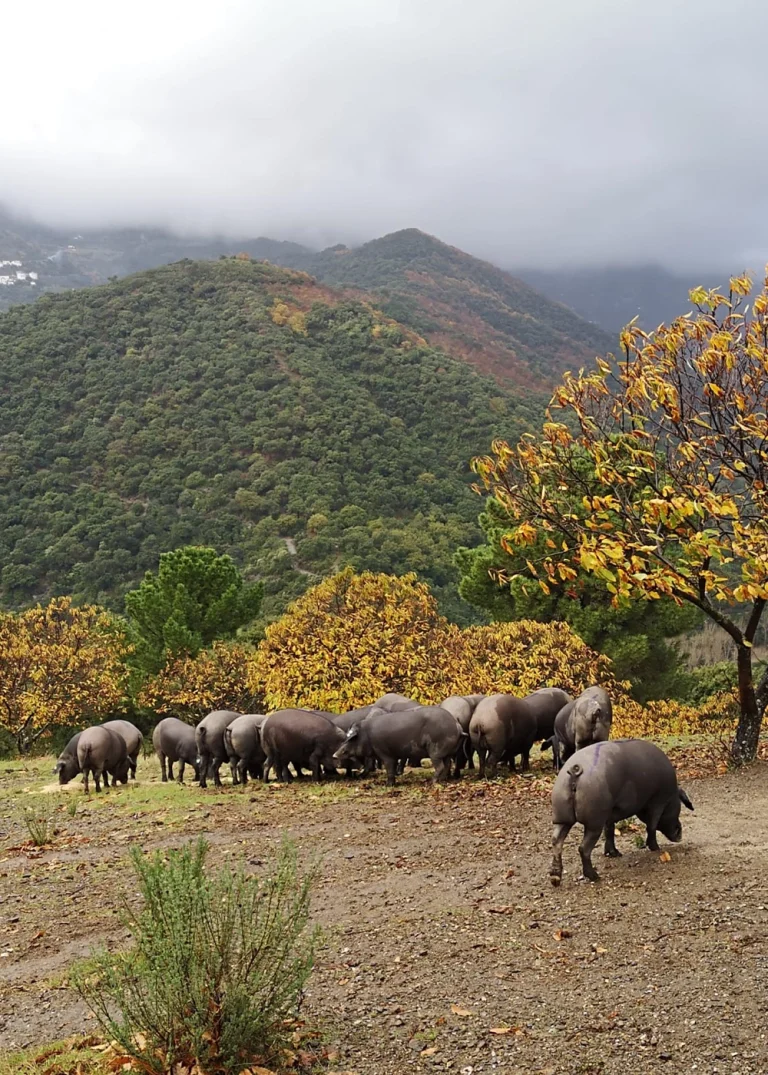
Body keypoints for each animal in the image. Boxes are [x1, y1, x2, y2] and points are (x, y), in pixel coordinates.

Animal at [333, 705, 463, 786]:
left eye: (352, 738)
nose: (334, 755)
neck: (366, 734)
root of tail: (456, 725)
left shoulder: (385, 753)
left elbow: (389, 769)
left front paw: (388, 785)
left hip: (435, 751)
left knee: (440, 766)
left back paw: (432, 782)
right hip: (447, 752)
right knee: (447, 765)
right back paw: (442, 780)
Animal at [549, 739, 694, 885]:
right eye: (679, 806)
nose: (680, 835)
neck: (671, 795)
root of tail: (575, 769)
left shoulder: (609, 815)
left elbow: (609, 831)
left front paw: (615, 854)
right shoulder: (658, 802)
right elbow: (651, 827)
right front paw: (656, 848)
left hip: (562, 817)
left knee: (556, 841)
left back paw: (555, 878)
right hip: (594, 822)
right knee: (583, 848)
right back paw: (595, 877)